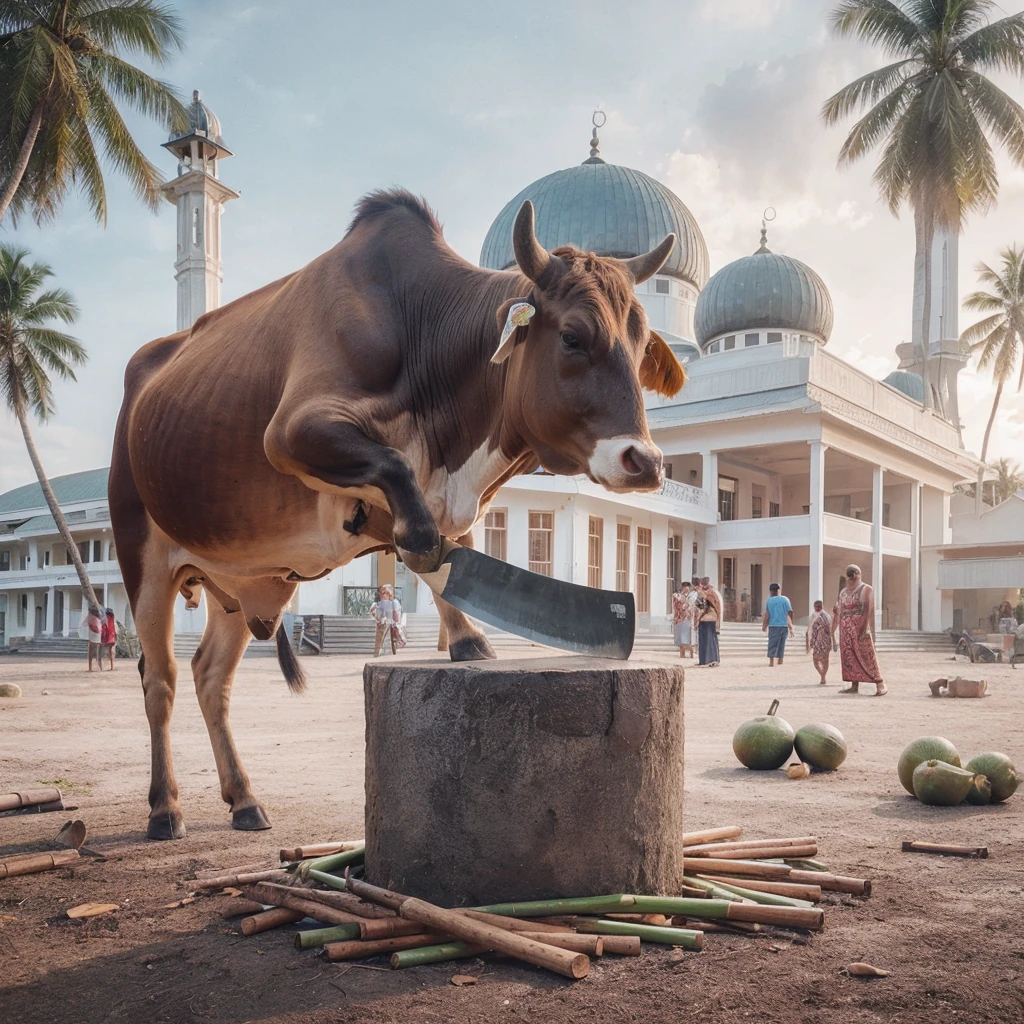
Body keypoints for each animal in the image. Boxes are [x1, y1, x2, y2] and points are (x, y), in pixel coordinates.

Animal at [112, 192, 684, 839]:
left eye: (642, 345)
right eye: (571, 337)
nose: (645, 462)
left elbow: (442, 546)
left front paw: (468, 640)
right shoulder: (292, 430)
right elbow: (404, 492)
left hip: (236, 579)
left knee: (212, 679)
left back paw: (244, 800)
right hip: (143, 558)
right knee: (160, 680)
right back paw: (165, 807)